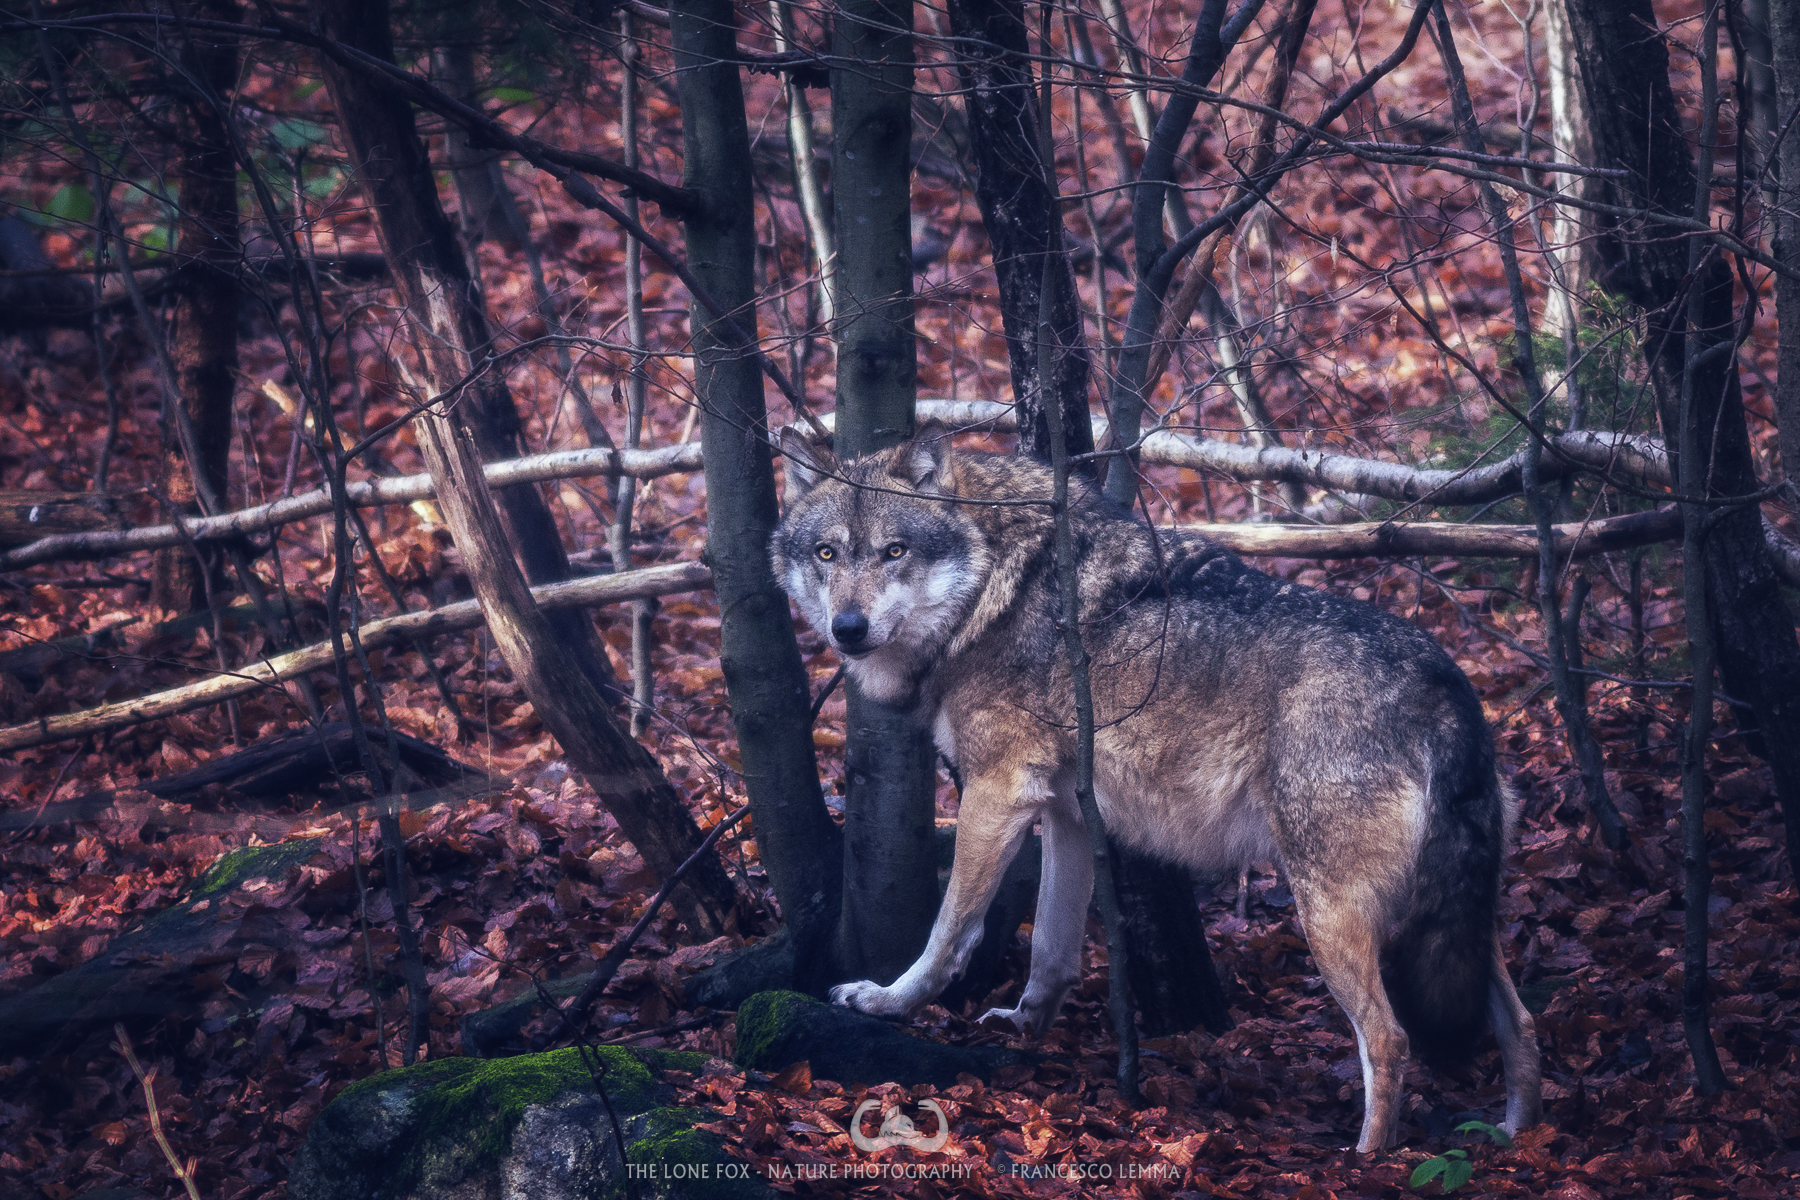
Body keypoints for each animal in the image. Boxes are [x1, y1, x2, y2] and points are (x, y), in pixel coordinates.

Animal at [770, 424, 1542, 1153]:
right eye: (827, 554)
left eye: (895, 551)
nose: (847, 628)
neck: (995, 586)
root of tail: (1448, 689)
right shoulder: (1067, 812)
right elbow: (1052, 952)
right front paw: (1025, 1026)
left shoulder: (998, 790)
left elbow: (949, 933)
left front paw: (885, 1001)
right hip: (1449, 923)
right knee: (1520, 1022)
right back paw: (1512, 1136)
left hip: (1329, 914)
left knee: (1390, 1039)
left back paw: (1366, 1160)